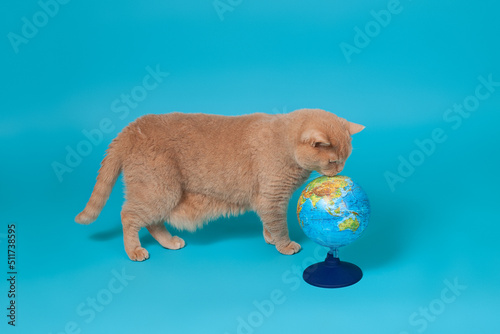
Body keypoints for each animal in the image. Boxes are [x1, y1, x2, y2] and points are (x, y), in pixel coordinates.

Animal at [75, 109, 364, 260]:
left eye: (346, 157)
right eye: (333, 160)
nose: (340, 170)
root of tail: (131, 128)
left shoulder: (266, 199)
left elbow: (268, 222)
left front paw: (270, 239)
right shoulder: (273, 197)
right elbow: (279, 224)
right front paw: (284, 245)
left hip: (164, 194)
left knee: (153, 222)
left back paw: (169, 242)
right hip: (159, 190)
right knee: (129, 216)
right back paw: (135, 250)